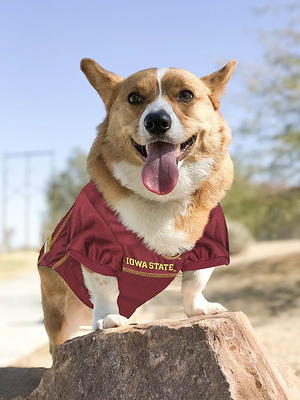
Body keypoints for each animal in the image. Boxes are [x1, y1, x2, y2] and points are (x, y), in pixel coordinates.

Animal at [37, 57, 236, 358]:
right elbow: (105, 287)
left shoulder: (208, 245)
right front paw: (108, 318)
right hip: (58, 314)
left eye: (186, 95)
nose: (157, 121)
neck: (162, 198)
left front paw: (199, 308)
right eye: (134, 98)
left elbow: (195, 281)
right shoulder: (93, 245)